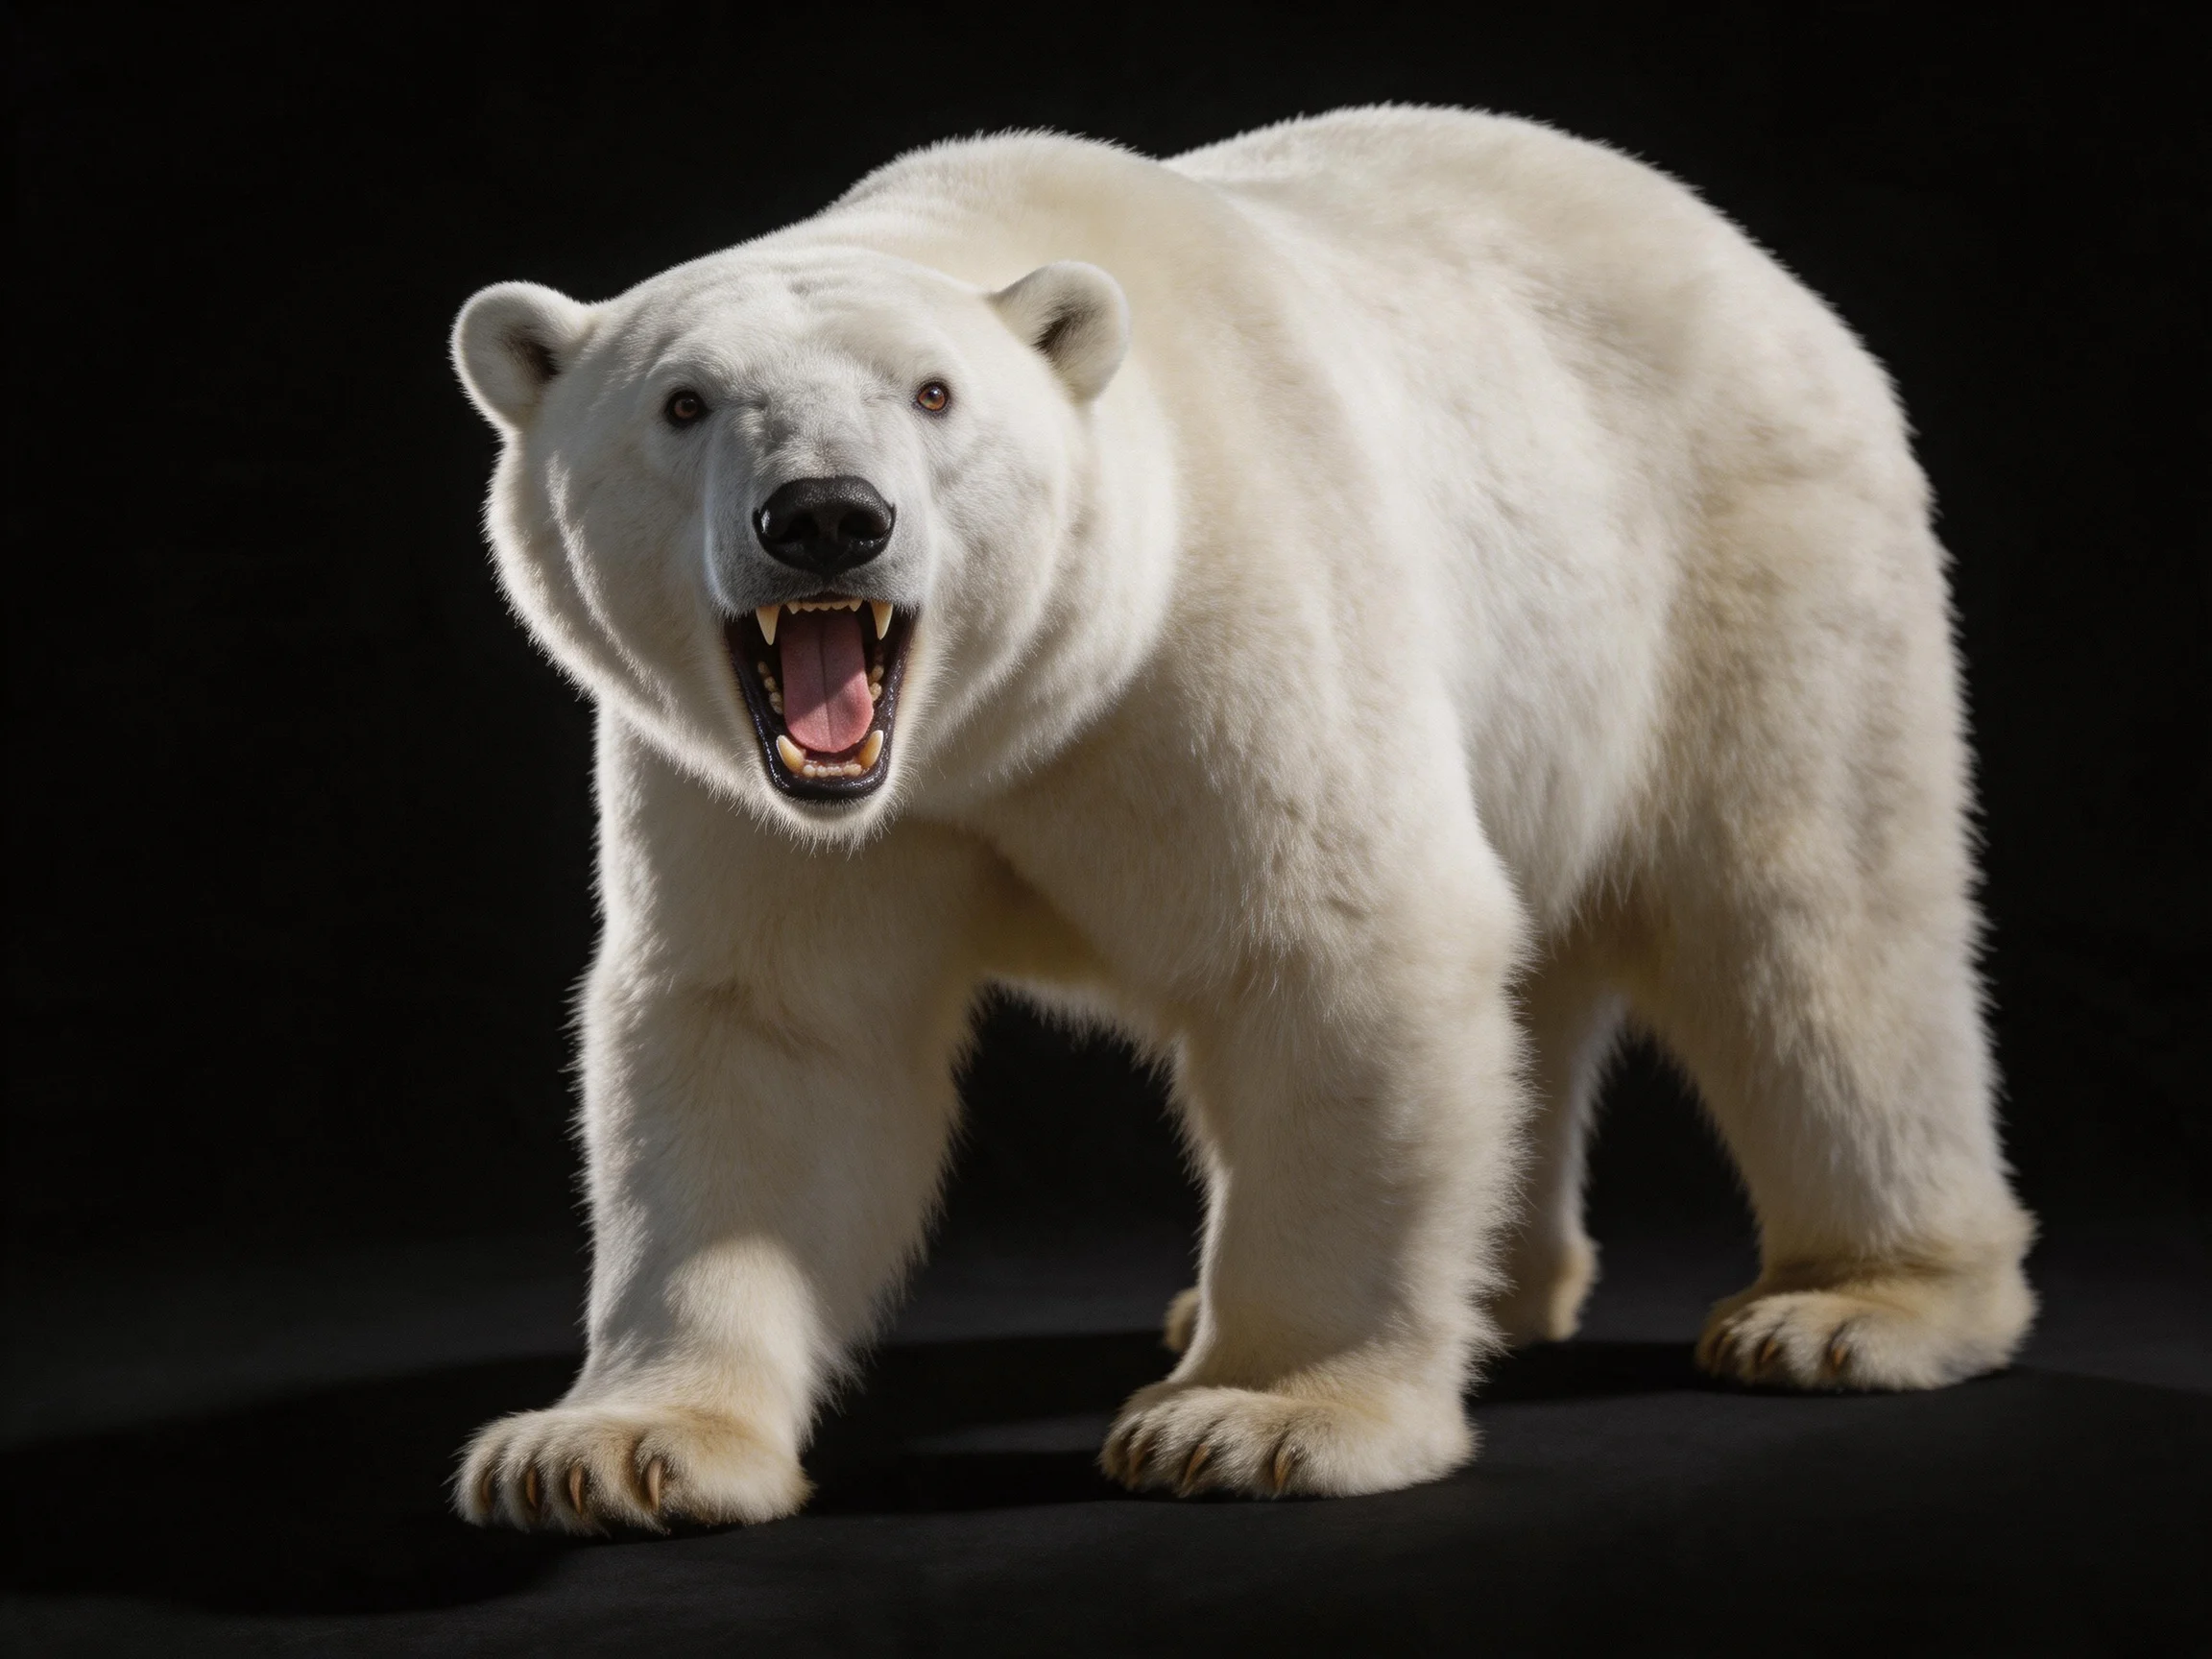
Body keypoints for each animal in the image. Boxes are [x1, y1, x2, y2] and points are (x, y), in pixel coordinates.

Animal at [447, 106, 2035, 1531]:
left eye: (934, 395)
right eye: (685, 403)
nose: (828, 518)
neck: (988, 731)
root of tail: (1754, 265)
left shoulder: (1228, 627)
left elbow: (1337, 951)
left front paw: (1257, 1418)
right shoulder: (759, 797)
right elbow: (772, 1035)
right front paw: (610, 1449)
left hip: (1750, 558)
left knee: (1812, 922)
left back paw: (1854, 1310)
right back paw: (1488, 1291)